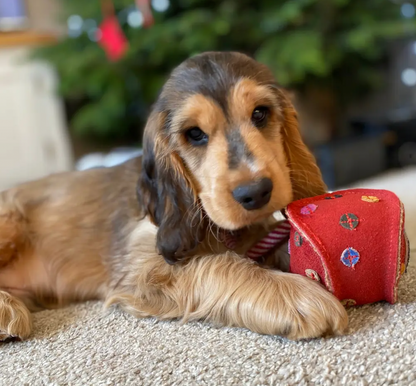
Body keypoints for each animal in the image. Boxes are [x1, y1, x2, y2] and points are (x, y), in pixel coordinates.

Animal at [0, 50, 348, 340]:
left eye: (260, 113)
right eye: (195, 134)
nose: (255, 193)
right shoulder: (144, 266)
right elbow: (222, 265)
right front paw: (297, 297)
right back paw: (8, 311)